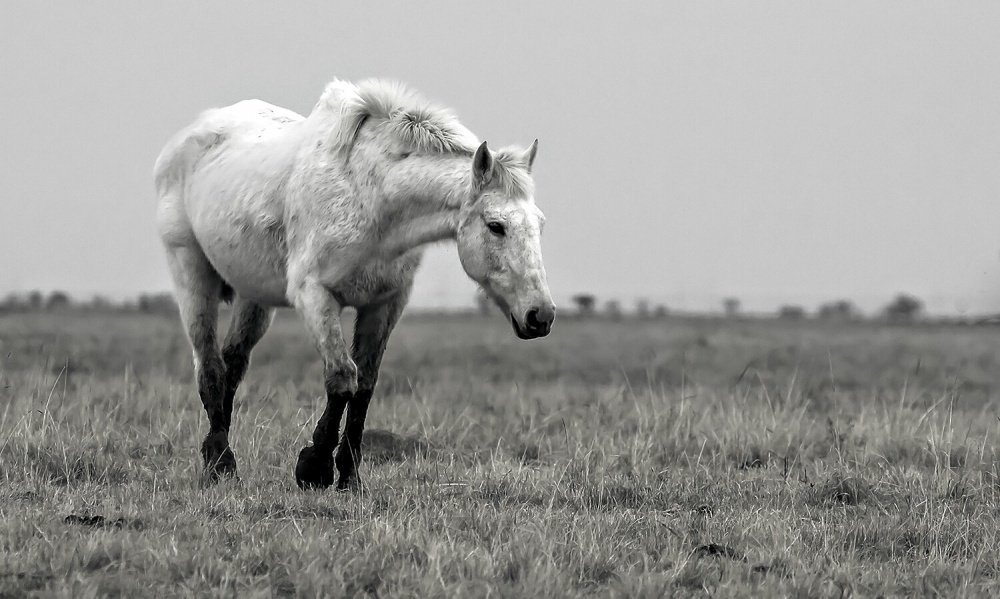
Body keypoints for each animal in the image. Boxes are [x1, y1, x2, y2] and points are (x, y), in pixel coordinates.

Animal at [160, 79, 560, 490]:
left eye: (540, 224)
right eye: (496, 226)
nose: (541, 316)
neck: (371, 197)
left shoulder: (385, 303)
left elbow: (365, 386)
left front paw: (350, 476)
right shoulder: (314, 296)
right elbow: (341, 377)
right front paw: (316, 466)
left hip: (253, 297)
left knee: (233, 364)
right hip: (191, 273)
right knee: (210, 368)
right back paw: (220, 462)